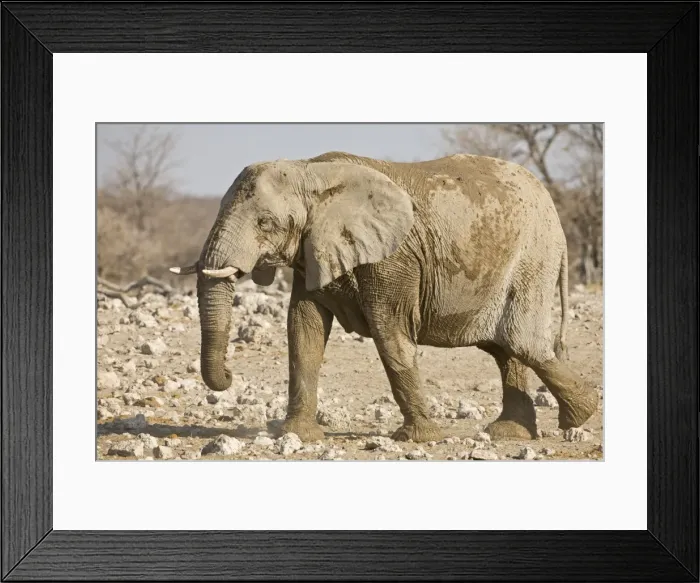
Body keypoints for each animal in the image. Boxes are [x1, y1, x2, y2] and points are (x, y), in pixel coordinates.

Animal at [170, 150, 599, 443]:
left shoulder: (393, 257)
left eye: (265, 222)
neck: (311, 171)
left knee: (520, 340)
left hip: (532, 257)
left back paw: (581, 416)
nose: (230, 375)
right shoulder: (313, 251)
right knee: (504, 347)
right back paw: (510, 434)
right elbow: (304, 330)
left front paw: (418, 439)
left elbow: (389, 331)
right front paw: (295, 436)